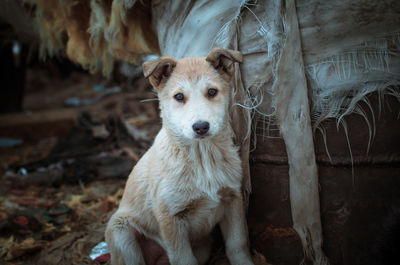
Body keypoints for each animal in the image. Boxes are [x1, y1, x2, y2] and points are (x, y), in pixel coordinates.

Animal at [105, 47, 253, 264]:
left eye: (212, 92)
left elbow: (237, 244)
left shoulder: (233, 199)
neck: (202, 158)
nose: (201, 127)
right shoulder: (170, 218)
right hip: (121, 233)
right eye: (179, 97)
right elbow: (184, 258)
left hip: (202, 248)